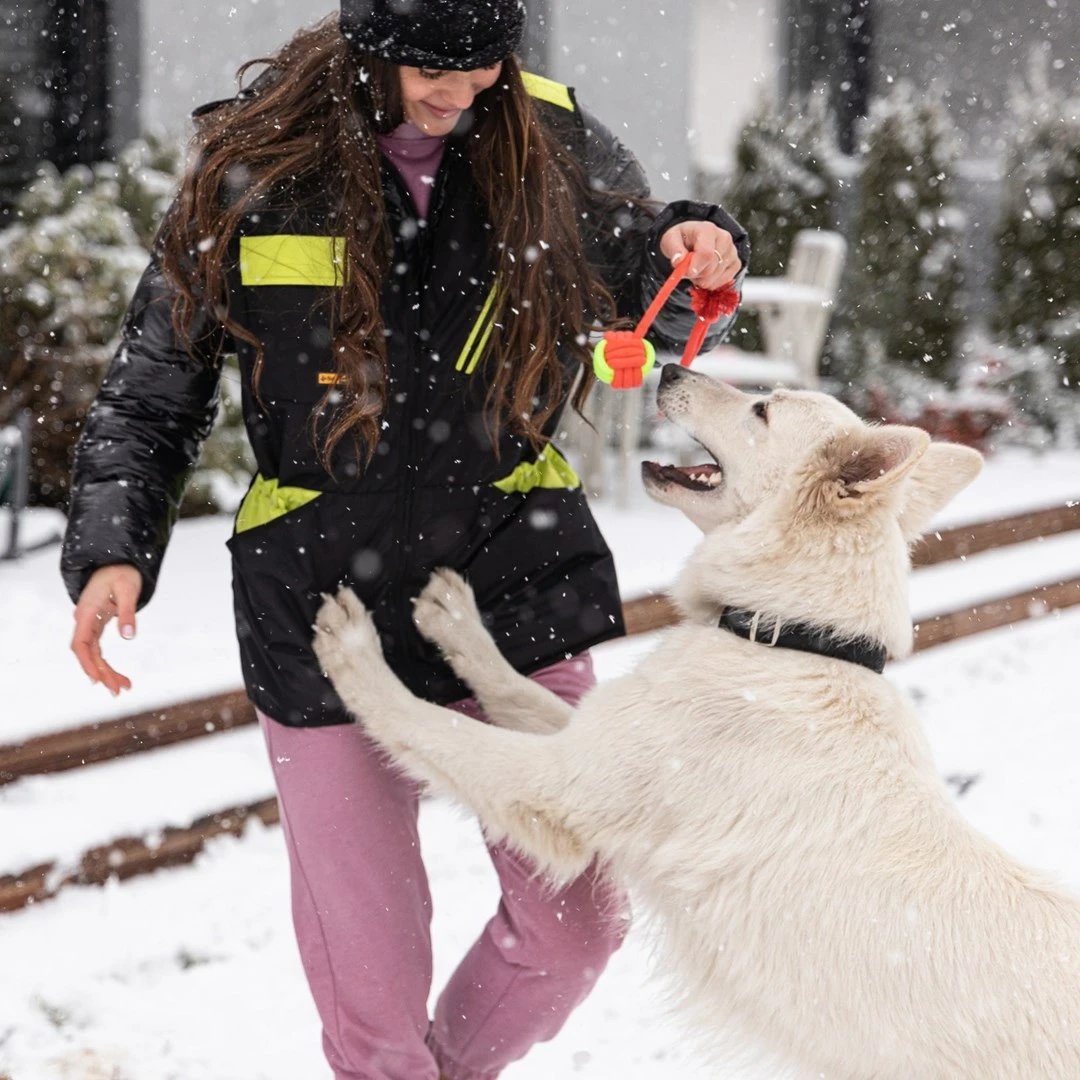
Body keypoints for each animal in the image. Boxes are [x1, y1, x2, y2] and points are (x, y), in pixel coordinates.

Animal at [313, 367, 1080, 1075]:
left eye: (762, 408)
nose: (670, 369)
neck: (787, 637)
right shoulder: (594, 737)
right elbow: (509, 684)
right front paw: (457, 622)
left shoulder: (559, 785)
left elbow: (423, 723)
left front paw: (354, 654)